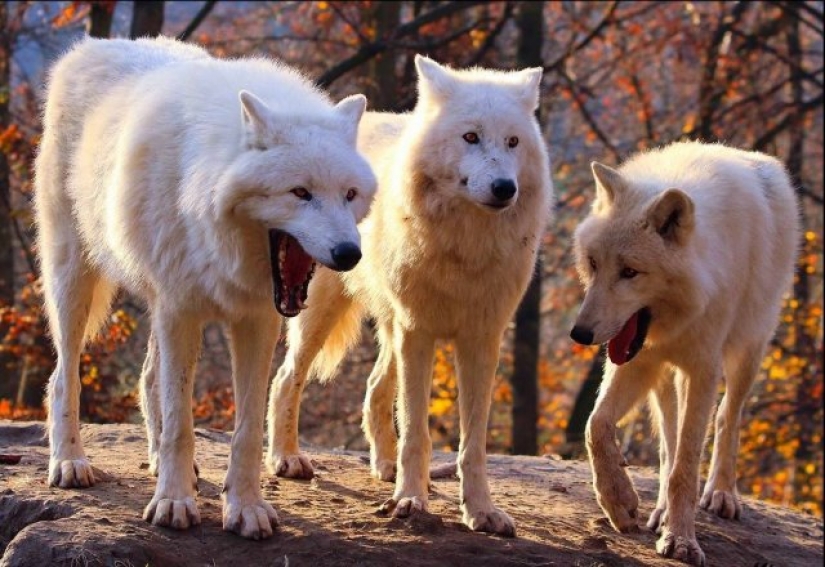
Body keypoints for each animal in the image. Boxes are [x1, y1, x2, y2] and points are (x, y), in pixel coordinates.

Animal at [34, 36, 376, 539]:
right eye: (300, 192)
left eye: (349, 194)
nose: (349, 254)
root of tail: (91, 47)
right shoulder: (182, 310)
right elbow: (181, 424)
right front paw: (174, 503)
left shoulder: (256, 320)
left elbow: (247, 429)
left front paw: (246, 507)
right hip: (75, 279)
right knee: (63, 376)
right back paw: (70, 462)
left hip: (154, 303)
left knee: (147, 378)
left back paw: (156, 461)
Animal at [266, 55, 554, 537]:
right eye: (470, 136)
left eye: (513, 142)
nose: (504, 188)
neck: (465, 247)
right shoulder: (419, 332)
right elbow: (417, 429)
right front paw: (411, 501)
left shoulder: (482, 339)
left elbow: (473, 442)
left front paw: (481, 511)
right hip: (324, 313)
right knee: (287, 377)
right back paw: (287, 458)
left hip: (391, 327)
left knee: (373, 389)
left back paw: (384, 466)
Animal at [570, 141, 799, 565]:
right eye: (593, 263)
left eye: (630, 272)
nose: (580, 333)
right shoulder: (639, 359)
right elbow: (597, 425)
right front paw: (619, 502)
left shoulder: (702, 369)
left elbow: (687, 466)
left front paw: (681, 541)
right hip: (665, 377)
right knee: (667, 441)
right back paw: (659, 510)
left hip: (748, 349)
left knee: (727, 417)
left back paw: (721, 494)